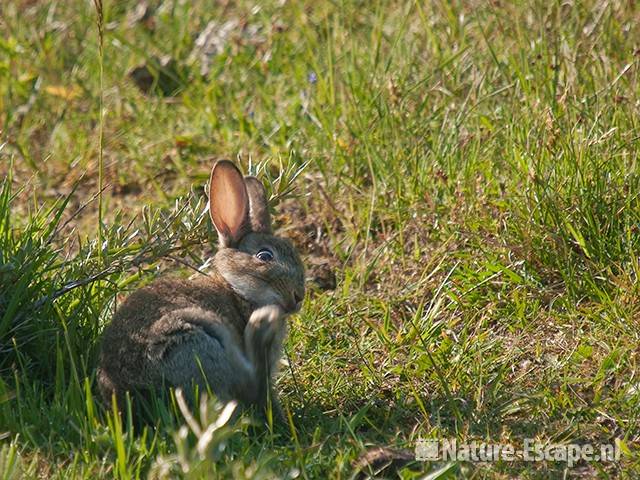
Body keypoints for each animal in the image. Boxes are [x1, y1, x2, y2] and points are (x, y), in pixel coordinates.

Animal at [96, 159, 306, 418]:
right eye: (265, 256)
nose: (299, 296)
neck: (236, 290)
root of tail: (127, 393)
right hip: (194, 338)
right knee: (249, 387)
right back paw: (262, 325)